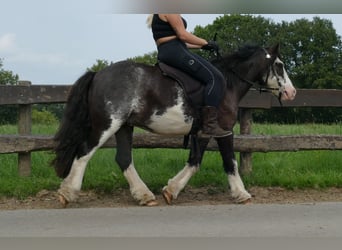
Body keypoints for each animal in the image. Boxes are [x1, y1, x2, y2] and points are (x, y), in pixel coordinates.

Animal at [52, 43, 296, 207]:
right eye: (280, 65)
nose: (291, 92)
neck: (228, 83)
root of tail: (98, 74)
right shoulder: (224, 130)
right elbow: (230, 162)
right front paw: (241, 194)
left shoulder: (203, 132)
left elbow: (194, 162)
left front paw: (171, 190)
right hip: (108, 124)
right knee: (84, 153)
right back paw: (68, 193)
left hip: (124, 127)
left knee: (123, 159)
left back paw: (144, 195)